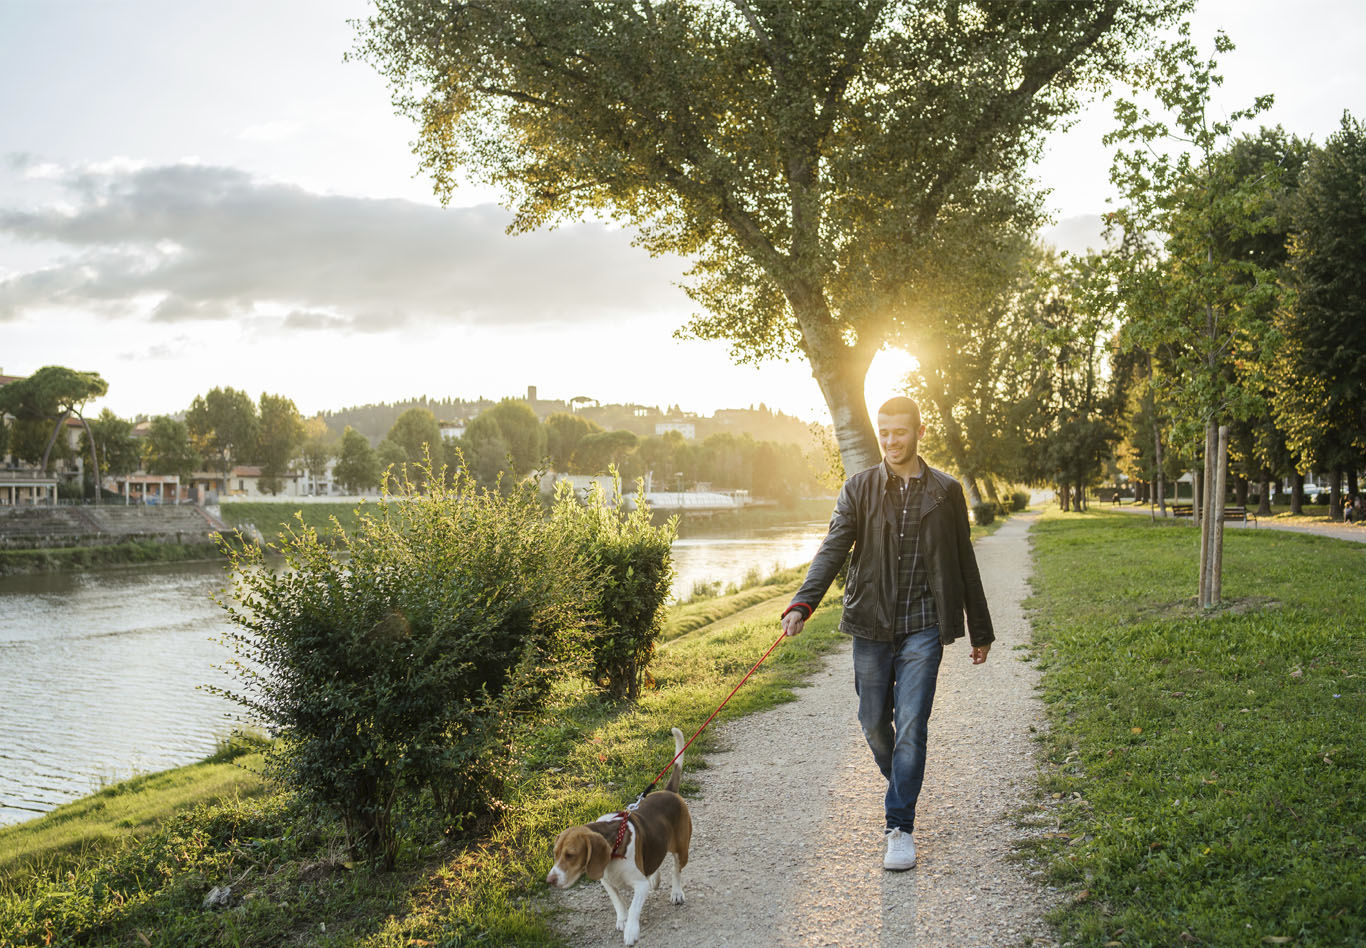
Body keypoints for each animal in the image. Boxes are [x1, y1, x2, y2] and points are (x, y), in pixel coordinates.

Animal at [546, 726, 693, 945]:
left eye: (571, 855)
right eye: (555, 854)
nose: (550, 880)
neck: (612, 853)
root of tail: (669, 792)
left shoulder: (639, 886)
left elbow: (633, 908)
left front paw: (631, 930)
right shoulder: (606, 881)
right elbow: (619, 902)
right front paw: (622, 920)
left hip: (682, 849)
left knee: (676, 870)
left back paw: (676, 893)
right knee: (655, 861)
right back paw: (655, 878)